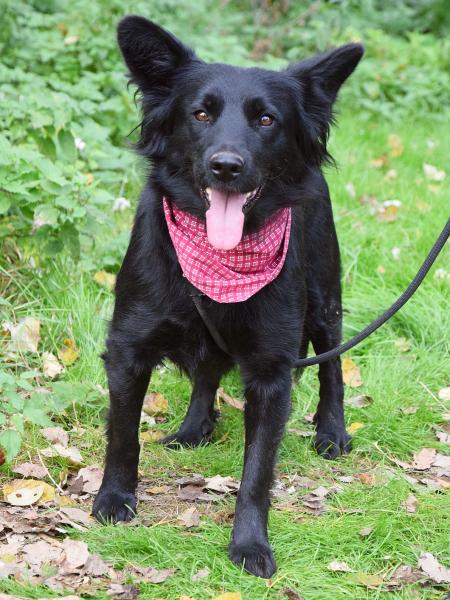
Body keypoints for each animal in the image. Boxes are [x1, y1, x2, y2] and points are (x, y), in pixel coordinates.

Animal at [93, 15, 364, 579]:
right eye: (200, 114)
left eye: (266, 120)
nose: (225, 166)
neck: (220, 257)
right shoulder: (128, 347)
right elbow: (123, 434)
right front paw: (114, 498)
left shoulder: (271, 370)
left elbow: (257, 472)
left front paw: (250, 544)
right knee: (208, 369)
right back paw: (195, 426)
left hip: (324, 297)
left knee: (331, 366)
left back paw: (332, 431)